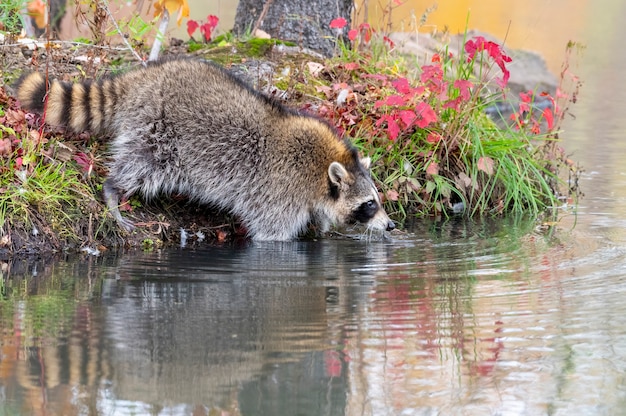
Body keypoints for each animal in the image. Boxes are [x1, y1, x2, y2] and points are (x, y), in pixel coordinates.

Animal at [14, 58, 392, 240]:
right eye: (369, 204)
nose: (391, 227)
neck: (320, 170)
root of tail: (146, 76)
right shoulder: (279, 193)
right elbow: (272, 236)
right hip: (160, 132)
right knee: (142, 164)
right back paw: (113, 190)